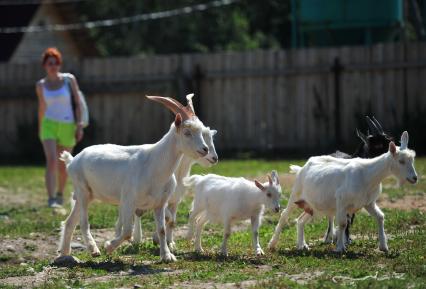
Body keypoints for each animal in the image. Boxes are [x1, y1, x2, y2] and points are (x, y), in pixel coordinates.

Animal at [56, 94, 210, 260]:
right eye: (187, 132)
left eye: (201, 132)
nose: (205, 149)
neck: (155, 165)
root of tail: (72, 160)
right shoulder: (128, 200)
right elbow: (127, 231)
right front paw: (109, 246)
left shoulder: (160, 204)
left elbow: (162, 229)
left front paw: (166, 256)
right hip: (83, 190)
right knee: (84, 222)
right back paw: (93, 249)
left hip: (87, 194)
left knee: (69, 222)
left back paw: (65, 253)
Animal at [268, 131, 418, 252]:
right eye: (401, 161)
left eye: (412, 159)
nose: (414, 178)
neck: (367, 174)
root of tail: (301, 168)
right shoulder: (341, 201)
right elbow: (342, 223)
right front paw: (340, 247)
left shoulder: (368, 203)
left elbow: (380, 217)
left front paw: (384, 247)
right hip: (296, 193)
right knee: (284, 215)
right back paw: (272, 244)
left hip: (315, 205)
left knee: (300, 220)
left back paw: (302, 246)